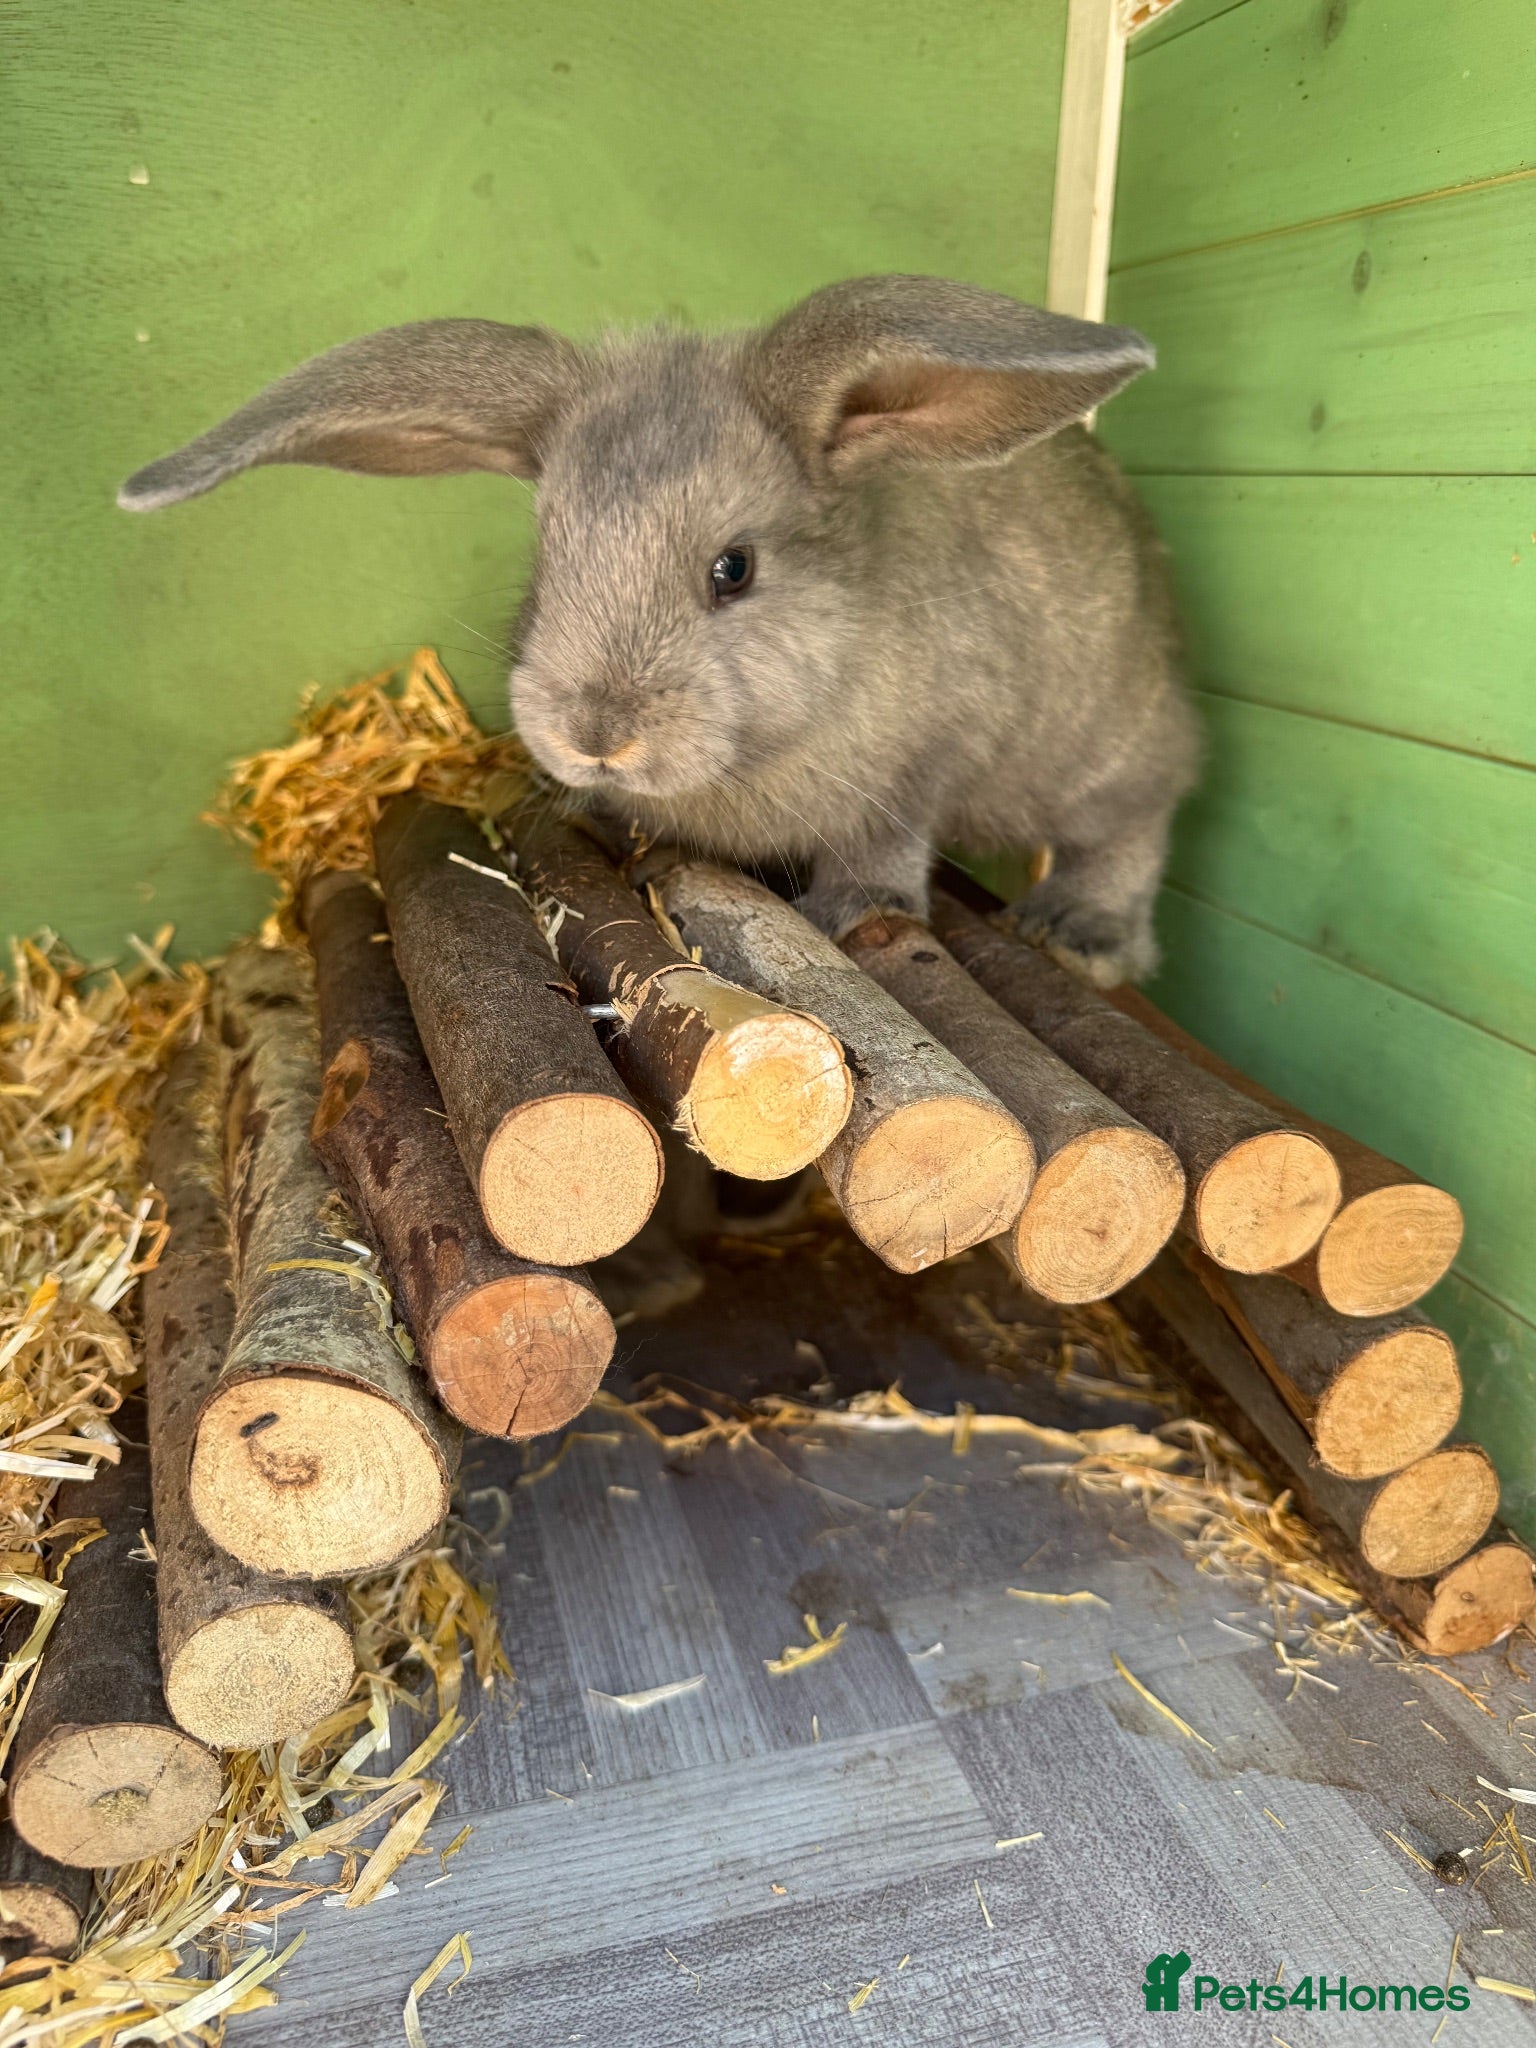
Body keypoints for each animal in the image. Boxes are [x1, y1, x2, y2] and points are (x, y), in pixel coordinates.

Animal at [120, 275, 1199, 984]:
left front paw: (852, 911)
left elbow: (885, 848)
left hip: (1106, 758)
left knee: (1139, 827)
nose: (597, 736)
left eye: (734, 568)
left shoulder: (917, 769)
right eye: (546, 557)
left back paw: (1083, 930)